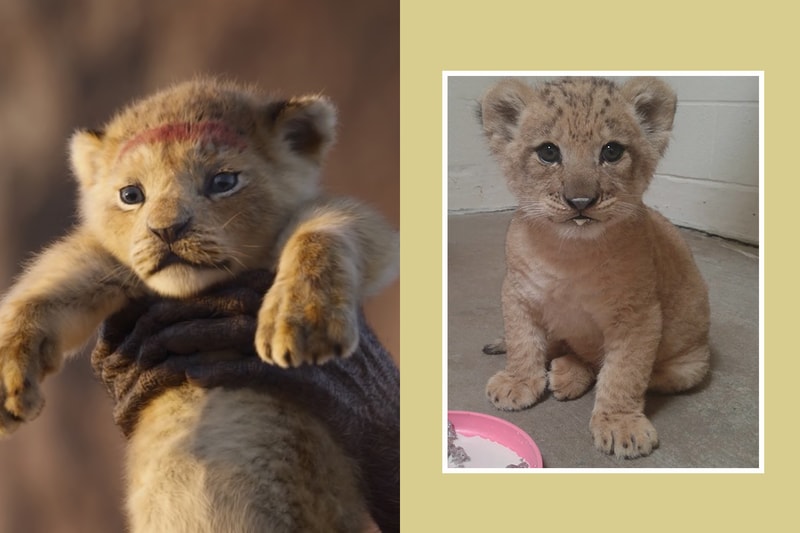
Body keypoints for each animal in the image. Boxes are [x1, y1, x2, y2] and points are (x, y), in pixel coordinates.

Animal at [478, 77, 710, 459]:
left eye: (612, 152)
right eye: (548, 152)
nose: (580, 201)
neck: (570, 253)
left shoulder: (639, 315)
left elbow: (624, 372)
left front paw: (620, 425)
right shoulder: (517, 294)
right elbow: (522, 340)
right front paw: (518, 381)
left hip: (687, 368)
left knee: (607, 365)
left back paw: (566, 375)